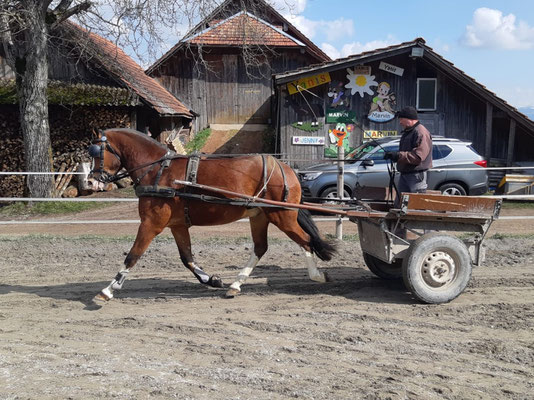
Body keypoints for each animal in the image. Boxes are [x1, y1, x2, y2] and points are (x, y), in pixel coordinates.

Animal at [89, 128, 338, 300]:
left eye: (96, 152)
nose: (92, 181)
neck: (158, 170)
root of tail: (284, 167)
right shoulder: (178, 225)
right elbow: (187, 258)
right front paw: (212, 280)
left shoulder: (151, 223)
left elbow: (133, 255)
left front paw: (108, 289)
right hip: (259, 216)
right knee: (260, 248)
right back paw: (235, 285)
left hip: (282, 216)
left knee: (305, 241)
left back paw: (317, 275)